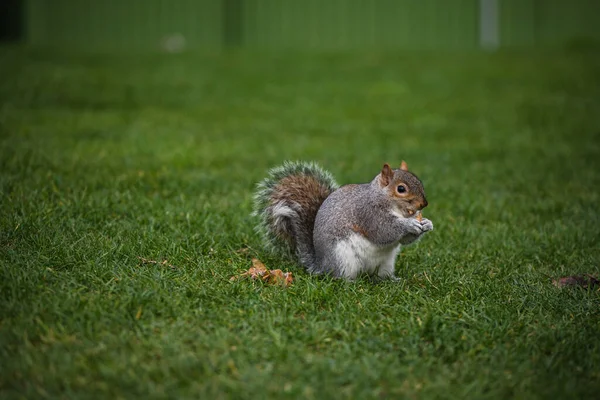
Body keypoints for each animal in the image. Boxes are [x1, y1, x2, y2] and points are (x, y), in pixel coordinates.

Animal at [251, 161, 434, 280]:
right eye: (401, 189)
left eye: (419, 181)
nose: (424, 204)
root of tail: (321, 265)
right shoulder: (368, 213)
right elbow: (383, 231)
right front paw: (409, 224)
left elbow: (404, 240)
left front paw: (426, 223)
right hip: (342, 258)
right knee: (338, 277)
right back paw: (350, 282)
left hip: (386, 264)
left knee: (381, 275)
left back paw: (391, 280)